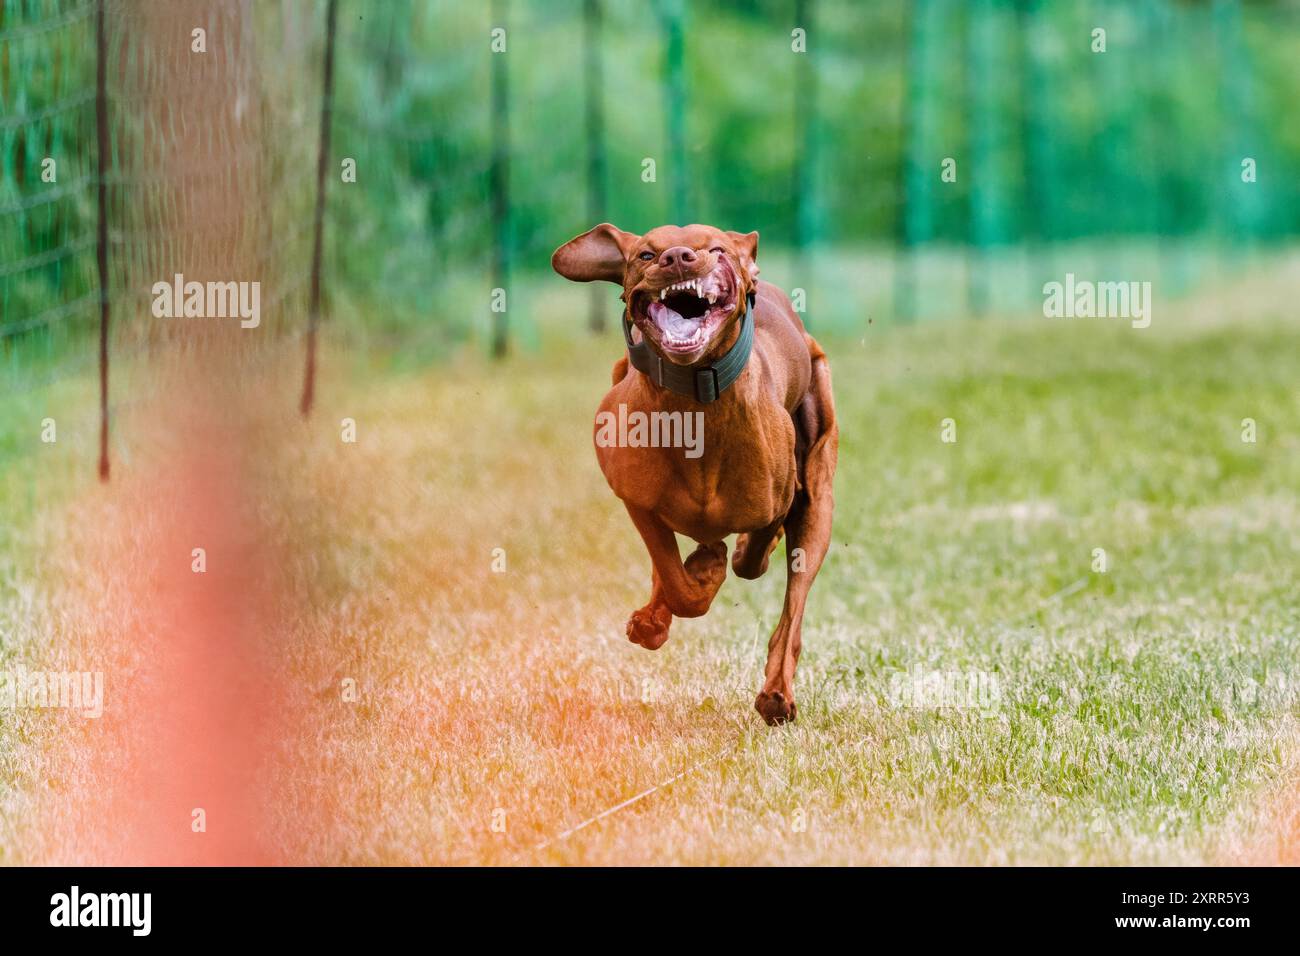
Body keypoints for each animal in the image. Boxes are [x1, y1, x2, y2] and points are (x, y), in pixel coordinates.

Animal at [551, 221, 837, 723]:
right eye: (646, 254)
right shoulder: (636, 500)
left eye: (717, 248)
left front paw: (719, 560)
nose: (679, 258)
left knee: (793, 603)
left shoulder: (779, 503)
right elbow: (671, 573)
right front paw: (696, 578)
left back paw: (777, 692)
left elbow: (752, 555)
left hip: (818, 495)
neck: (695, 406)